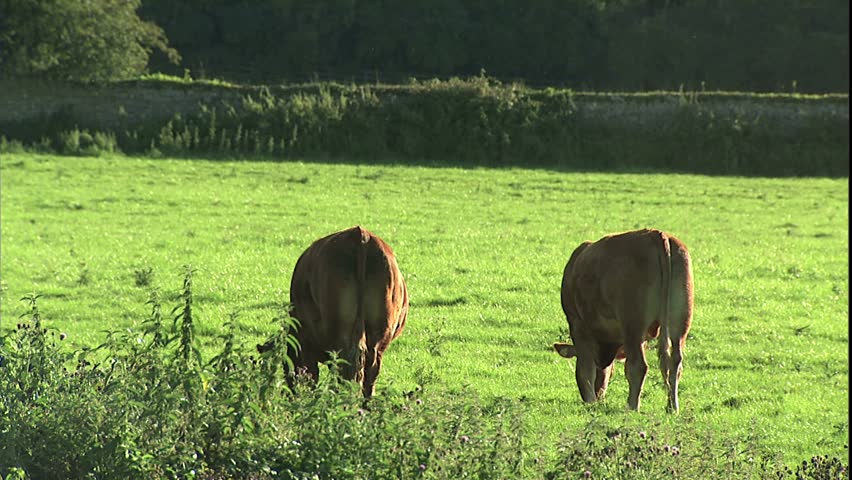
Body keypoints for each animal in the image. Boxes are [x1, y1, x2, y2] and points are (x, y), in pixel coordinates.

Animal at [553, 228, 693, 412]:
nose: (598, 396)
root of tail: (656, 234)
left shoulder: (577, 325)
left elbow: (585, 370)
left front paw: (590, 401)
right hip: (679, 322)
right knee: (675, 363)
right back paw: (672, 407)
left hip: (632, 325)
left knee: (638, 366)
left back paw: (632, 406)